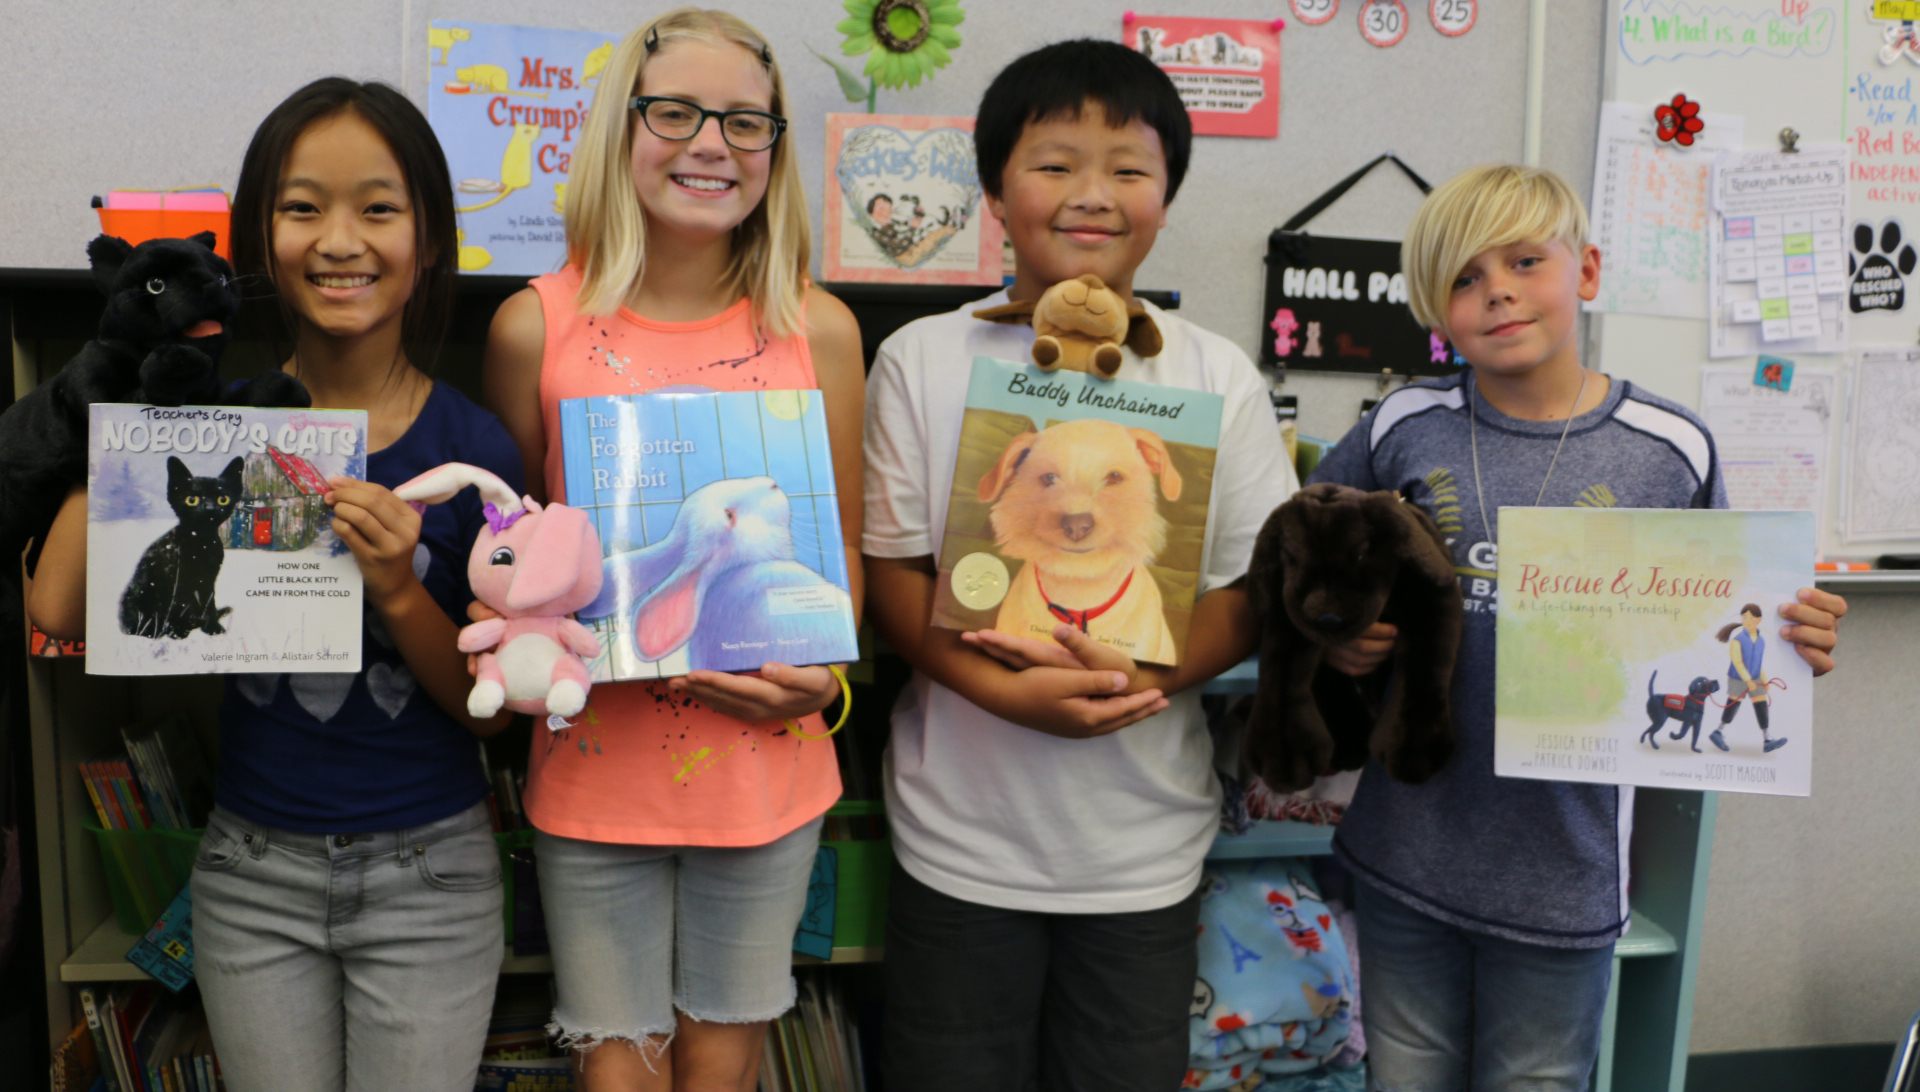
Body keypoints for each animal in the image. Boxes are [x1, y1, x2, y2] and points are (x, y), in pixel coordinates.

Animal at [118, 452, 243, 637]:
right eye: (191, 499)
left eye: (223, 499)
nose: (210, 508)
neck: (201, 544)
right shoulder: (176, 580)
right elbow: (179, 605)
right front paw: (177, 632)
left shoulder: (208, 580)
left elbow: (209, 603)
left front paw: (212, 627)